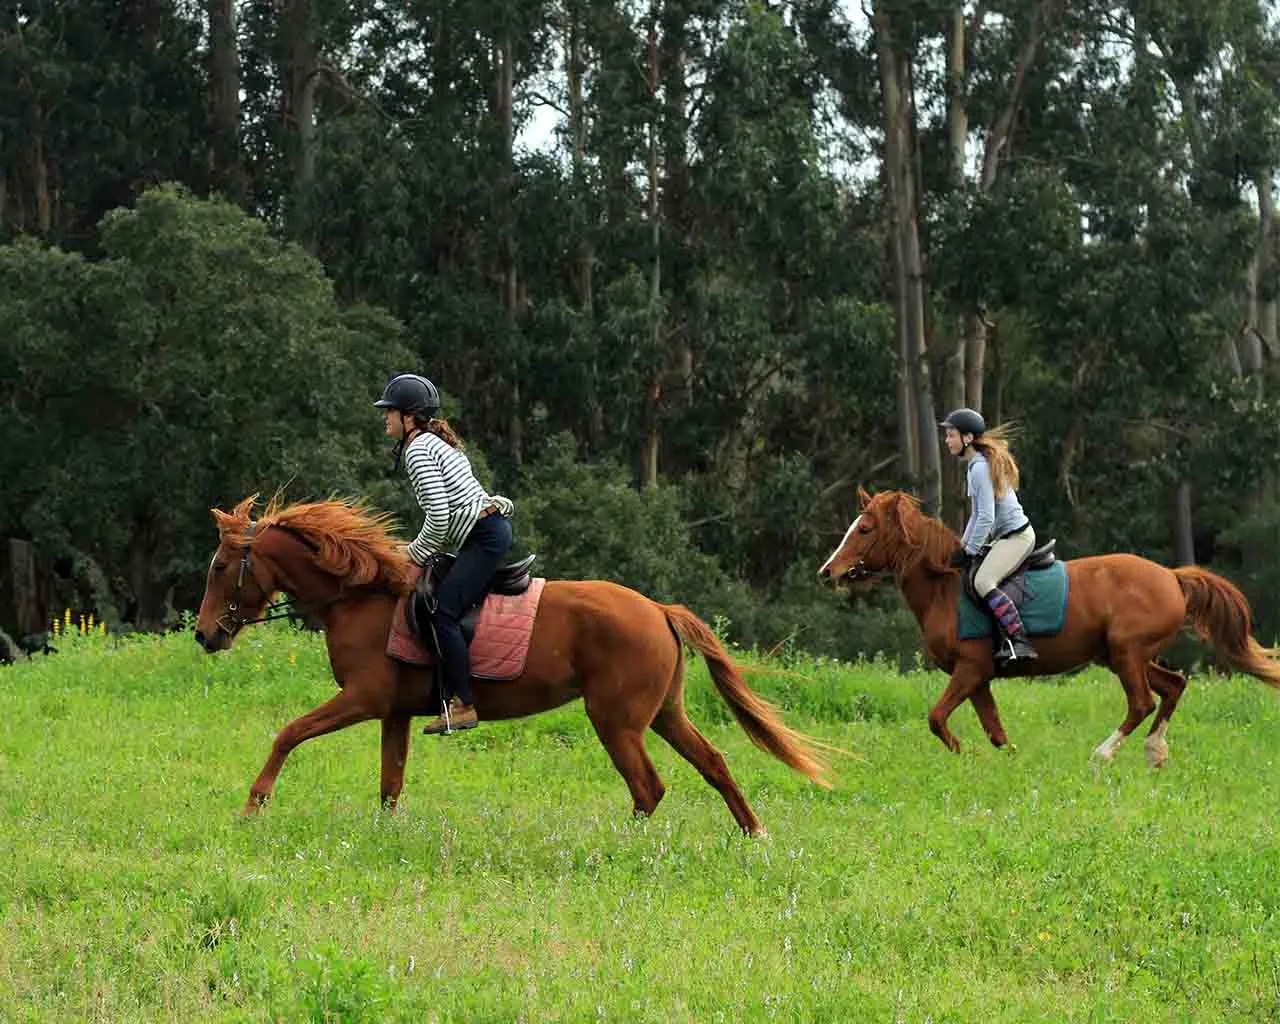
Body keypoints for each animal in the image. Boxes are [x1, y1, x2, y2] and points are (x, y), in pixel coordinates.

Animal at [193, 495, 835, 834]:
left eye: (221, 566)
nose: (204, 635)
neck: (357, 597)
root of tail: (658, 608)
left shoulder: (363, 699)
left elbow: (288, 733)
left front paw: (253, 804)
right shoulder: (394, 713)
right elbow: (389, 784)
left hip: (616, 720)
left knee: (648, 787)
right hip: (662, 714)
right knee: (714, 763)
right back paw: (754, 833)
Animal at [818, 488, 1280, 766]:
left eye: (864, 528)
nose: (828, 573)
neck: (942, 588)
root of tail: (1171, 576)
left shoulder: (969, 670)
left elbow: (936, 717)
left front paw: (962, 754)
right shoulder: (979, 677)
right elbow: (995, 731)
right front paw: (1009, 761)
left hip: (1127, 652)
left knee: (1142, 702)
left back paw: (1102, 755)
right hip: (1122, 654)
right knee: (1173, 686)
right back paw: (1154, 752)